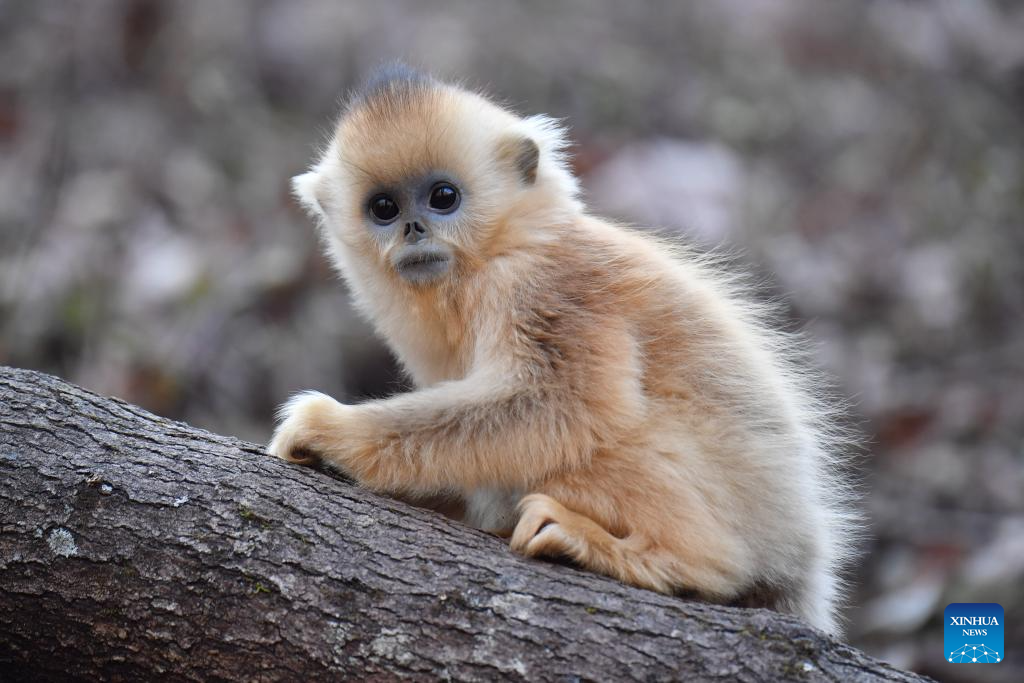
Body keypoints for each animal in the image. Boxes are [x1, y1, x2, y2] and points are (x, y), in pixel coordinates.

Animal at [269, 65, 859, 636]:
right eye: (384, 208)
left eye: (443, 197)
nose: (413, 228)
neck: (500, 252)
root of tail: (803, 561)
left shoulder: (538, 288)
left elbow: (570, 403)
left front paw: (328, 429)